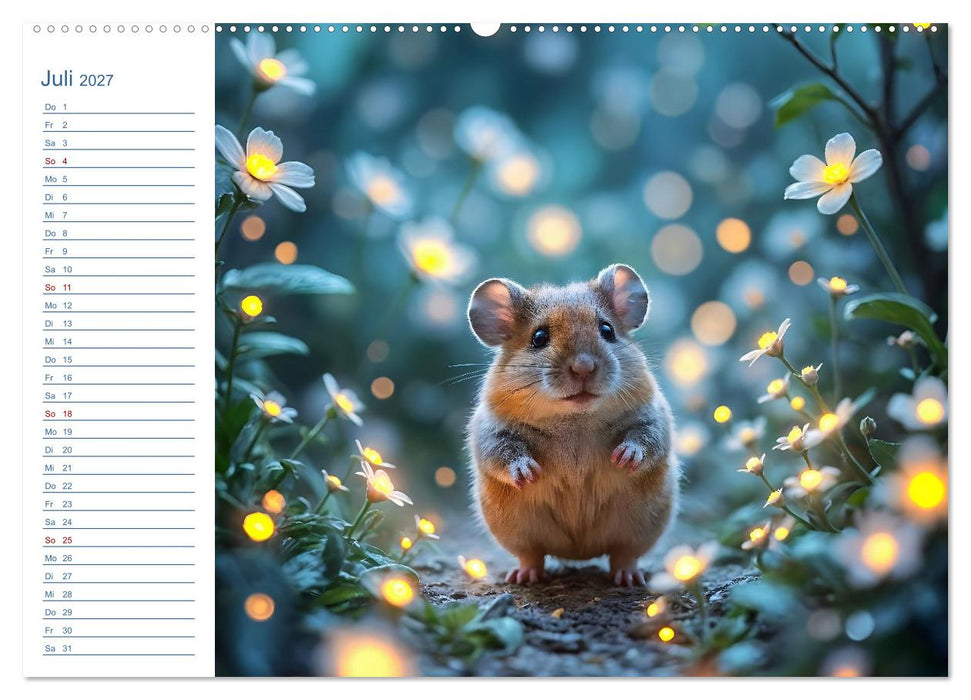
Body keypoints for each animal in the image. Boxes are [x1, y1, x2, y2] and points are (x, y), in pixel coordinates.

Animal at [465, 263, 679, 587]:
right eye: (539, 337)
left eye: (607, 330)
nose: (584, 368)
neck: (575, 420)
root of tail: (579, 553)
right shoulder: (492, 431)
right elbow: (505, 453)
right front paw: (528, 473)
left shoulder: (653, 417)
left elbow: (644, 440)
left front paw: (625, 458)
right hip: (519, 532)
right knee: (532, 555)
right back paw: (523, 576)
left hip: (639, 527)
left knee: (623, 554)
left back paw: (629, 577)